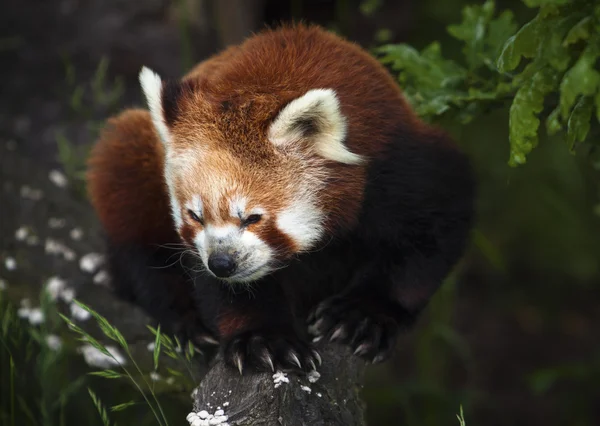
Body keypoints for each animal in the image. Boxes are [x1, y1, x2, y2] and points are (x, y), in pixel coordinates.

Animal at [88, 25, 474, 374]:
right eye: (195, 216)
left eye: (252, 218)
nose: (222, 263)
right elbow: (229, 290)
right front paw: (263, 339)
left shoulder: (398, 163)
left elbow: (429, 234)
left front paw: (363, 313)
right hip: (136, 153)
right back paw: (188, 323)